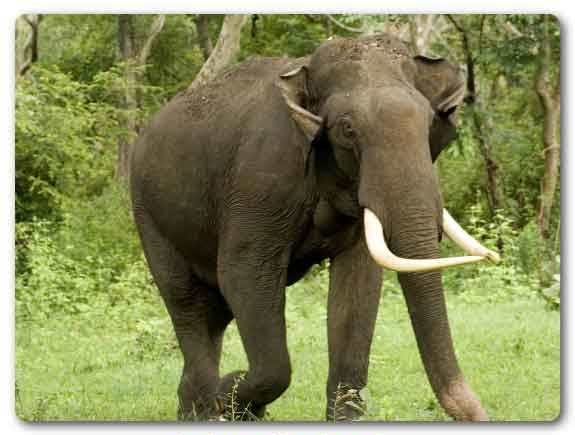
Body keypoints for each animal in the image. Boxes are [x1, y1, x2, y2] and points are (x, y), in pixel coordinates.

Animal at [130, 34, 500, 422]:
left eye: (429, 122)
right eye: (348, 129)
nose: (480, 413)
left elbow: (358, 284)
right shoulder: (260, 179)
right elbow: (244, 273)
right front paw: (230, 395)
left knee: (213, 314)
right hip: (149, 215)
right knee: (187, 301)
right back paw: (207, 406)